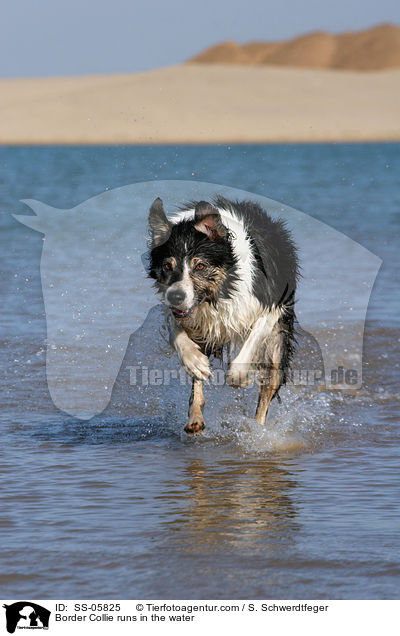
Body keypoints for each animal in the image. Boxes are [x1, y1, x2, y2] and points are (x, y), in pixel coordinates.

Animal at [148, 196, 298, 434]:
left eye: (200, 266)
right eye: (167, 266)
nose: (176, 297)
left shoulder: (270, 307)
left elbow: (249, 345)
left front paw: (240, 378)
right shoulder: (181, 313)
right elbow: (176, 332)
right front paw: (194, 361)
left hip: (277, 342)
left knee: (268, 387)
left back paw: (257, 429)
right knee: (197, 387)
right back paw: (195, 418)